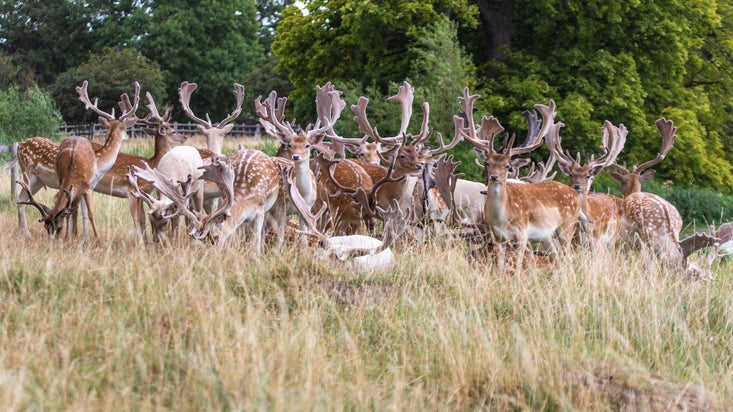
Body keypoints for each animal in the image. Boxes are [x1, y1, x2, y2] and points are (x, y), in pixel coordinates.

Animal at [16, 80, 140, 237]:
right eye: (124, 128)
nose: (128, 136)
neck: (100, 162)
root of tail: (19, 145)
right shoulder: (87, 186)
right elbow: (79, 212)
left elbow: (79, 212)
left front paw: (80, 237)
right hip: (29, 174)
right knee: (20, 198)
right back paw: (26, 233)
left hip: (38, 181)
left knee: (22, 199)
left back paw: (22, 231)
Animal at [459, 88, 579, 260]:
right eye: (487, 163)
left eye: (507, 166)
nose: (493, 177)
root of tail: (575, 194)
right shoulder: (497, 237)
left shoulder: (522, 235)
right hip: (550, 235)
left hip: (566, 229)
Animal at [545, 120, 628, 248]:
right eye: (571, 174)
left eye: (588, 176)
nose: (577, 185)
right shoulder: (576, 241)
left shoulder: (597, 240)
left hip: (612, 237)